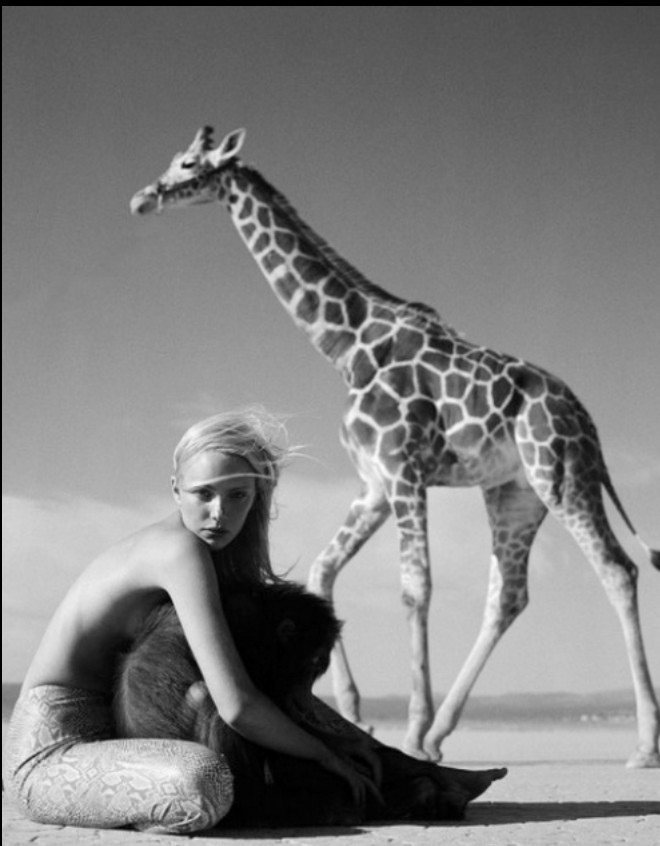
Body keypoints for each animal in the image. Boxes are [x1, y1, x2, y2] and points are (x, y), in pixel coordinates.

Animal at [131, 126, 660, 768]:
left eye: (188, 163)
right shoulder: (375, 483)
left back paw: (642, 745)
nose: (142, 198)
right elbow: (326, 569)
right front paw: (360, 709)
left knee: (617, 569)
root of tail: (589, 423)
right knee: (508, 595)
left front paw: (407, 726)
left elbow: (415, 588)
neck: (344, 343)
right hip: (515, 494)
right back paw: (443, 733)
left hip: (561, 473)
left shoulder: (403, 468)